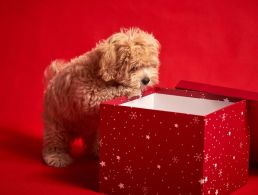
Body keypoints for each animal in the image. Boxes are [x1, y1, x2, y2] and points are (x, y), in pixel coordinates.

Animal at [42, 27, 159, 168]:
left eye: (151, 65)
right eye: (134, 67)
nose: (146, 80)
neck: (99, 70)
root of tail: (50, 81)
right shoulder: (89, 93)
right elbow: (110, 93)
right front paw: (132, 90)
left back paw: (96, 151)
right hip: (56, 122)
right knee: (55, 139)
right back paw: (57, 156)